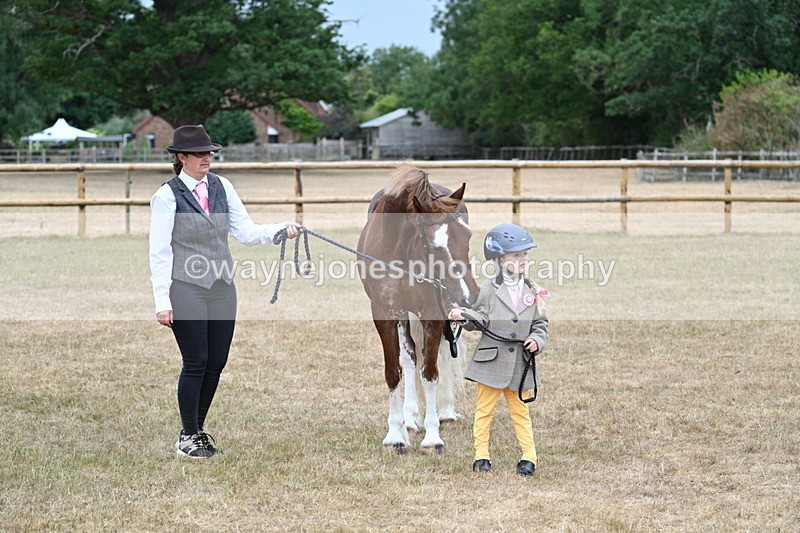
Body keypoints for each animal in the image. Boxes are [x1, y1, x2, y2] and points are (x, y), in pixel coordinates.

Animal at [357, 164, 479, 454]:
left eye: (468, 235)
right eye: (434, 245)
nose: (470, 295)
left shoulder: (433, 313)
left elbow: (431, 372)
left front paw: (433, 438)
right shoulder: (385, 314)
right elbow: (395, 371)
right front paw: (395, 435)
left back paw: (444, 411)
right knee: (410, 357)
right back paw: (410, 418)